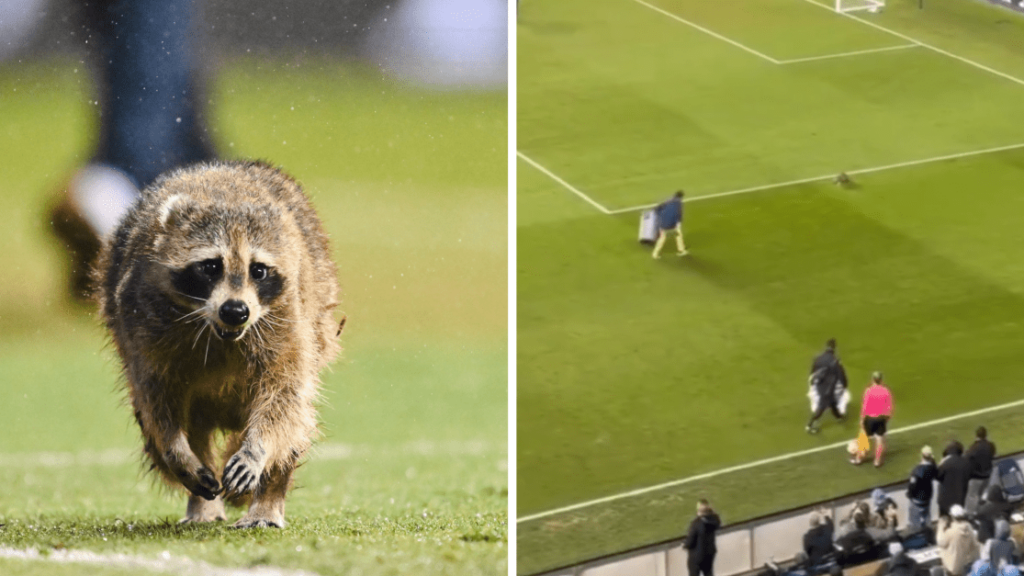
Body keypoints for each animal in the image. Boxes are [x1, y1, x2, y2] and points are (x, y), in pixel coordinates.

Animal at [93, 158, 339, 528]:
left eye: (258, 270)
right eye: (210, 267)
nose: (235, 311)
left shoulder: (289, 317)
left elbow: (284, 394)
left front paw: (258, 450)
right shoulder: (140, 321)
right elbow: (156, 400)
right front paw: (176, 451)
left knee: (297, 420)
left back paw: (268, 497)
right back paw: (201, 498)